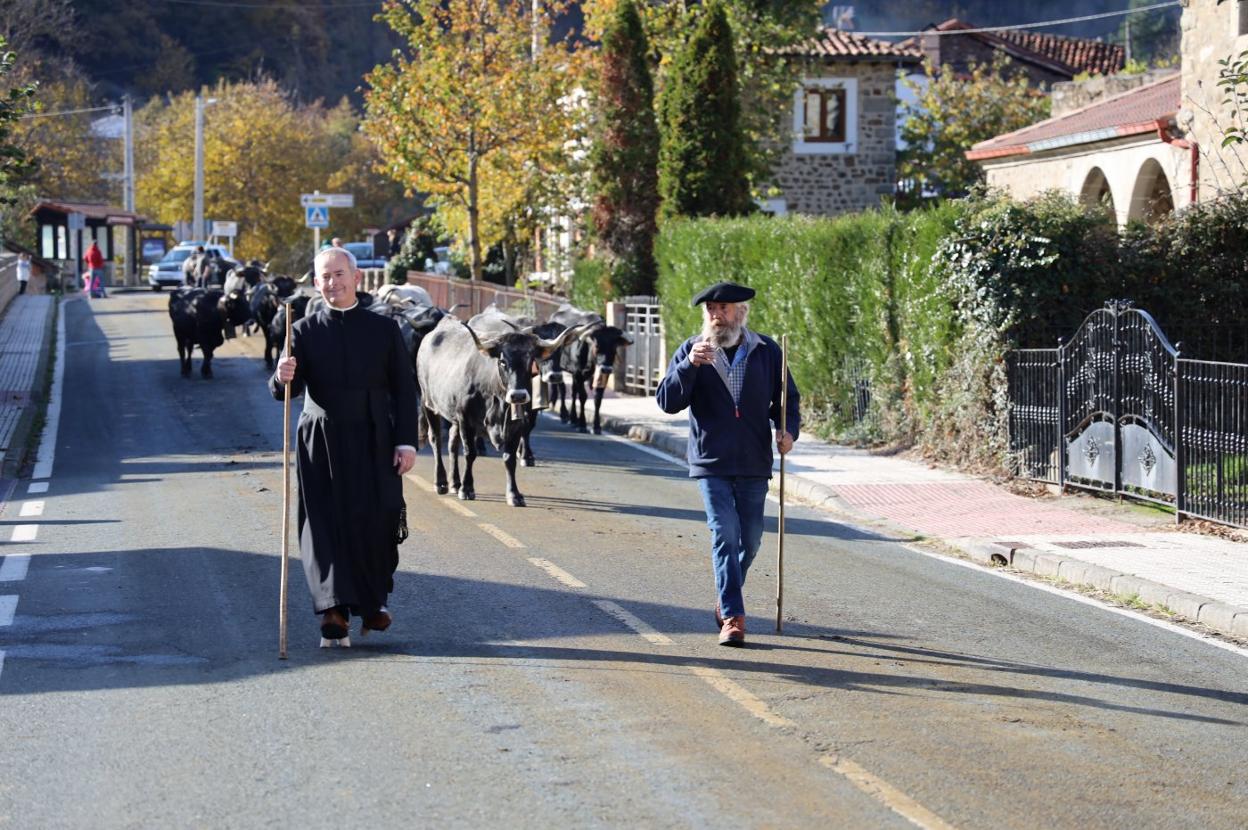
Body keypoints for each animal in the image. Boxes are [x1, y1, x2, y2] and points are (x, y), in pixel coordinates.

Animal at [414, 310, 579, 504]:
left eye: (530, 360)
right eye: (502, 361)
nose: (518, 395)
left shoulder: (516, 424)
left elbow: (509, 458)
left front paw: (514, 494)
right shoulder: (466, 420)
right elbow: (470, 453)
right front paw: (467, 488)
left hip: (452, 414)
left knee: (452, 444)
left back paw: (455, 482)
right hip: (429, 404)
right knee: (436, 440)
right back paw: (441, 482)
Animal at [554, 304, 633, 434]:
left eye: (614, 347)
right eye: (596, 346)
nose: (606, 369)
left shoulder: (602, 376)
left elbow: (597, 399)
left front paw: (596, 426)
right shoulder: (578, 373)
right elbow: (583, 397)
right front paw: (582, 424)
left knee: (573, 392)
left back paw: (573, 418)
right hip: (559, 368)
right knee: (563, 389)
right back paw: (564, 415)